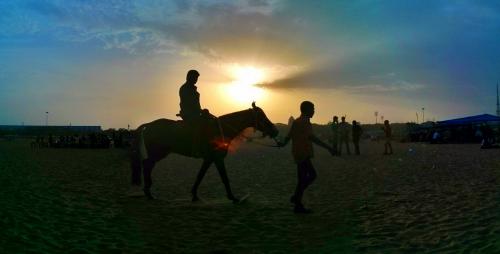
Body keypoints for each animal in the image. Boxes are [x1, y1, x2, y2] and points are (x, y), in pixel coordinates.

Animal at [130, 102, 278, 202]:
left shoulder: (209, 159)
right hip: (158, 153)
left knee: (147, 166)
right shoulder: (218, 159)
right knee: (147, 166)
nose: (275, 131)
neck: (221, 129)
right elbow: (224, 178)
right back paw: (149, 193)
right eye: (262, 116)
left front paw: (194, 194)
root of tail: (148, 125)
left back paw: (148, 193)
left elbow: (200, 176)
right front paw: (233, 197)